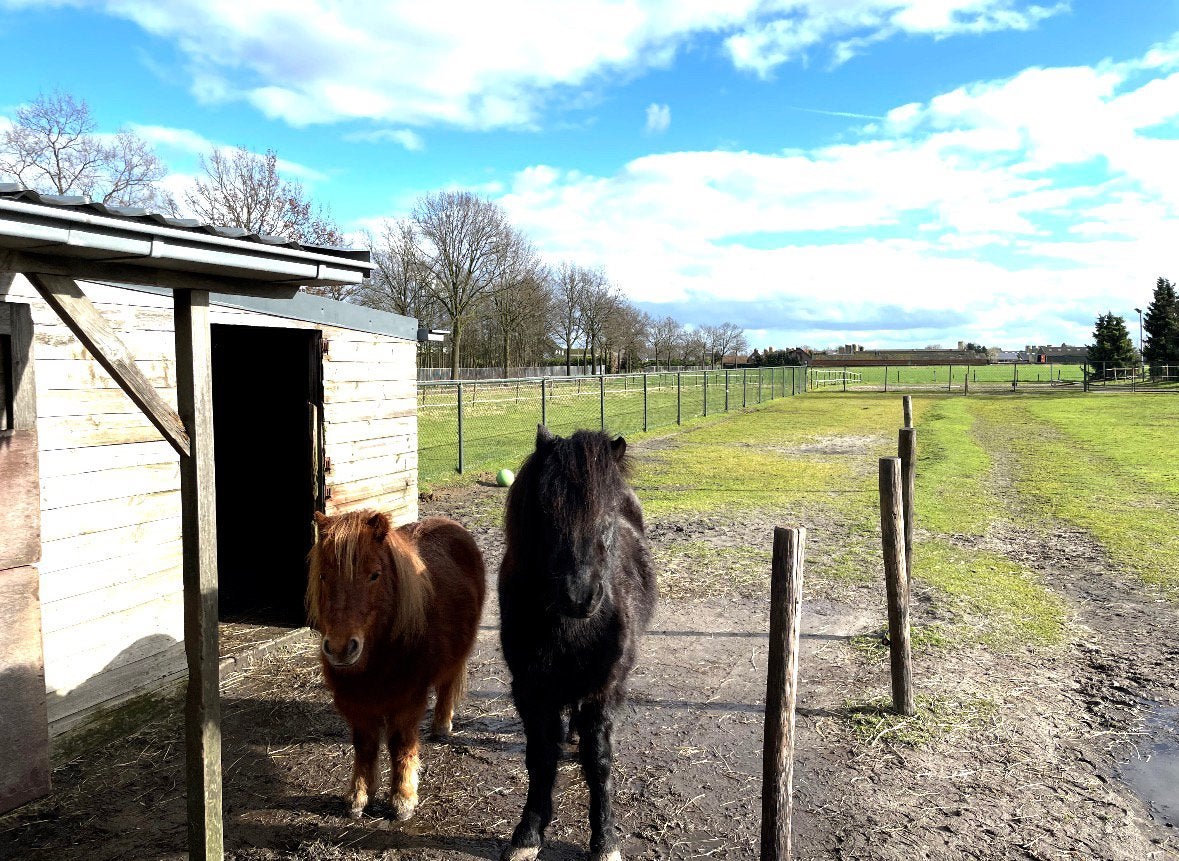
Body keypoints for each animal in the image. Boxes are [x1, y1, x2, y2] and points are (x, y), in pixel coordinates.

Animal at [307, 510, 486, 821]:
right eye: (323, 575)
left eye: (374, 575)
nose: (340, 648)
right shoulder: (356, 706)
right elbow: (364, 746)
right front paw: (359, 796)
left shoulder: (407, 703)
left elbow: (400, 745)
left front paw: (403, 799)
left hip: (457, 656)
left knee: (447, 686)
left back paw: (442, 726)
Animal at [498, 426, 657, 861]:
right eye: (545, 513)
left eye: (608, 516)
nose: (579, 595)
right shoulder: (531, 690)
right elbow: (540, 758)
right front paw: (528, 834)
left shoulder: (604, 689)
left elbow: (599, 760)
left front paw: (605, 840)